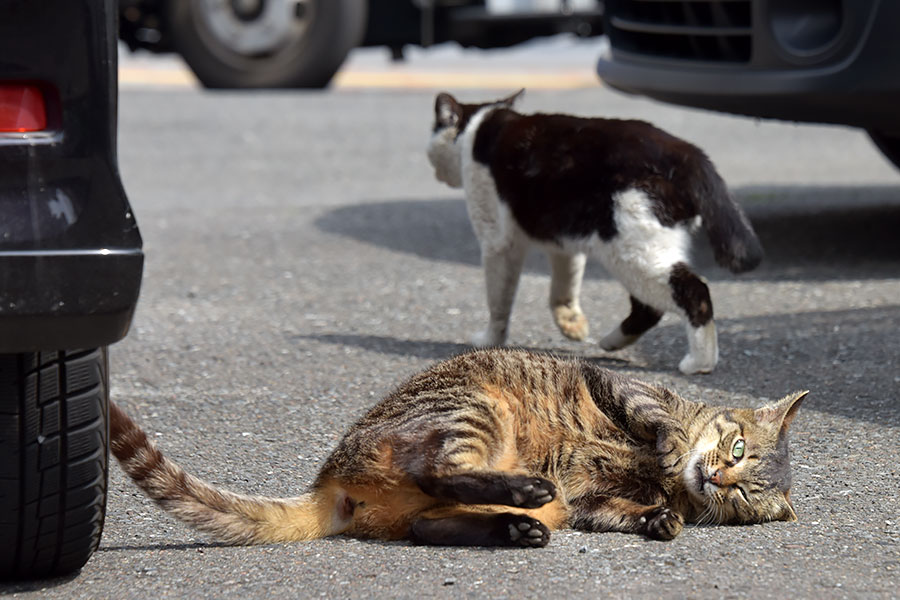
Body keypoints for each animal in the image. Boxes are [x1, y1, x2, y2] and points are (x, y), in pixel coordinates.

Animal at [112, 346, 808, 548]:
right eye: (737, 449)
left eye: (745, 498)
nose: (719, 480)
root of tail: (329, 480)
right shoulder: (624, 387)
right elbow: (652, 419)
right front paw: (666, 450)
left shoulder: (589, 502)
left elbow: (621, 510)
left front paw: (659, 518)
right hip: (476, 409)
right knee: (440, 473)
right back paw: (521, 493)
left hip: (492, 479)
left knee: (429, 519)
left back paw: (514, 527)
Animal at [426, 91, 764, 372]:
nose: (435, 172)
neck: (475, 131)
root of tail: (686, 152)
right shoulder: (563, 243)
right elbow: (563, 288)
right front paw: (571, 324)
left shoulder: (497, 242)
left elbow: (498, 301)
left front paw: (489, 340)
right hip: (634, 247)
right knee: (651, 307)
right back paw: (612, 341)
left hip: (631, 251)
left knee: (691, 292)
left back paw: (699, 363)